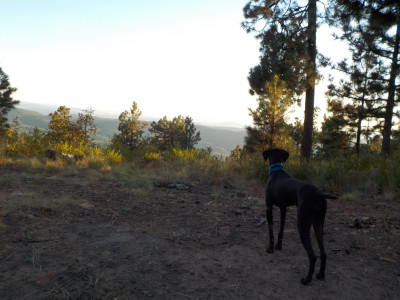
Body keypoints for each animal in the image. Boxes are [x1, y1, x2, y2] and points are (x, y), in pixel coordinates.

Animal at [262, 149, 338, 284]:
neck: (277, 171)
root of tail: (317, 193)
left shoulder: (269, 208)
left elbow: (271, 232)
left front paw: (270, 249)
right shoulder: (283, 209)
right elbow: (281, 230)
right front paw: (279, 246)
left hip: (302, 224)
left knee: (313, 256)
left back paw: (307, 280)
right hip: (318, 224)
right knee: (323, 253)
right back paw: (320, 275)